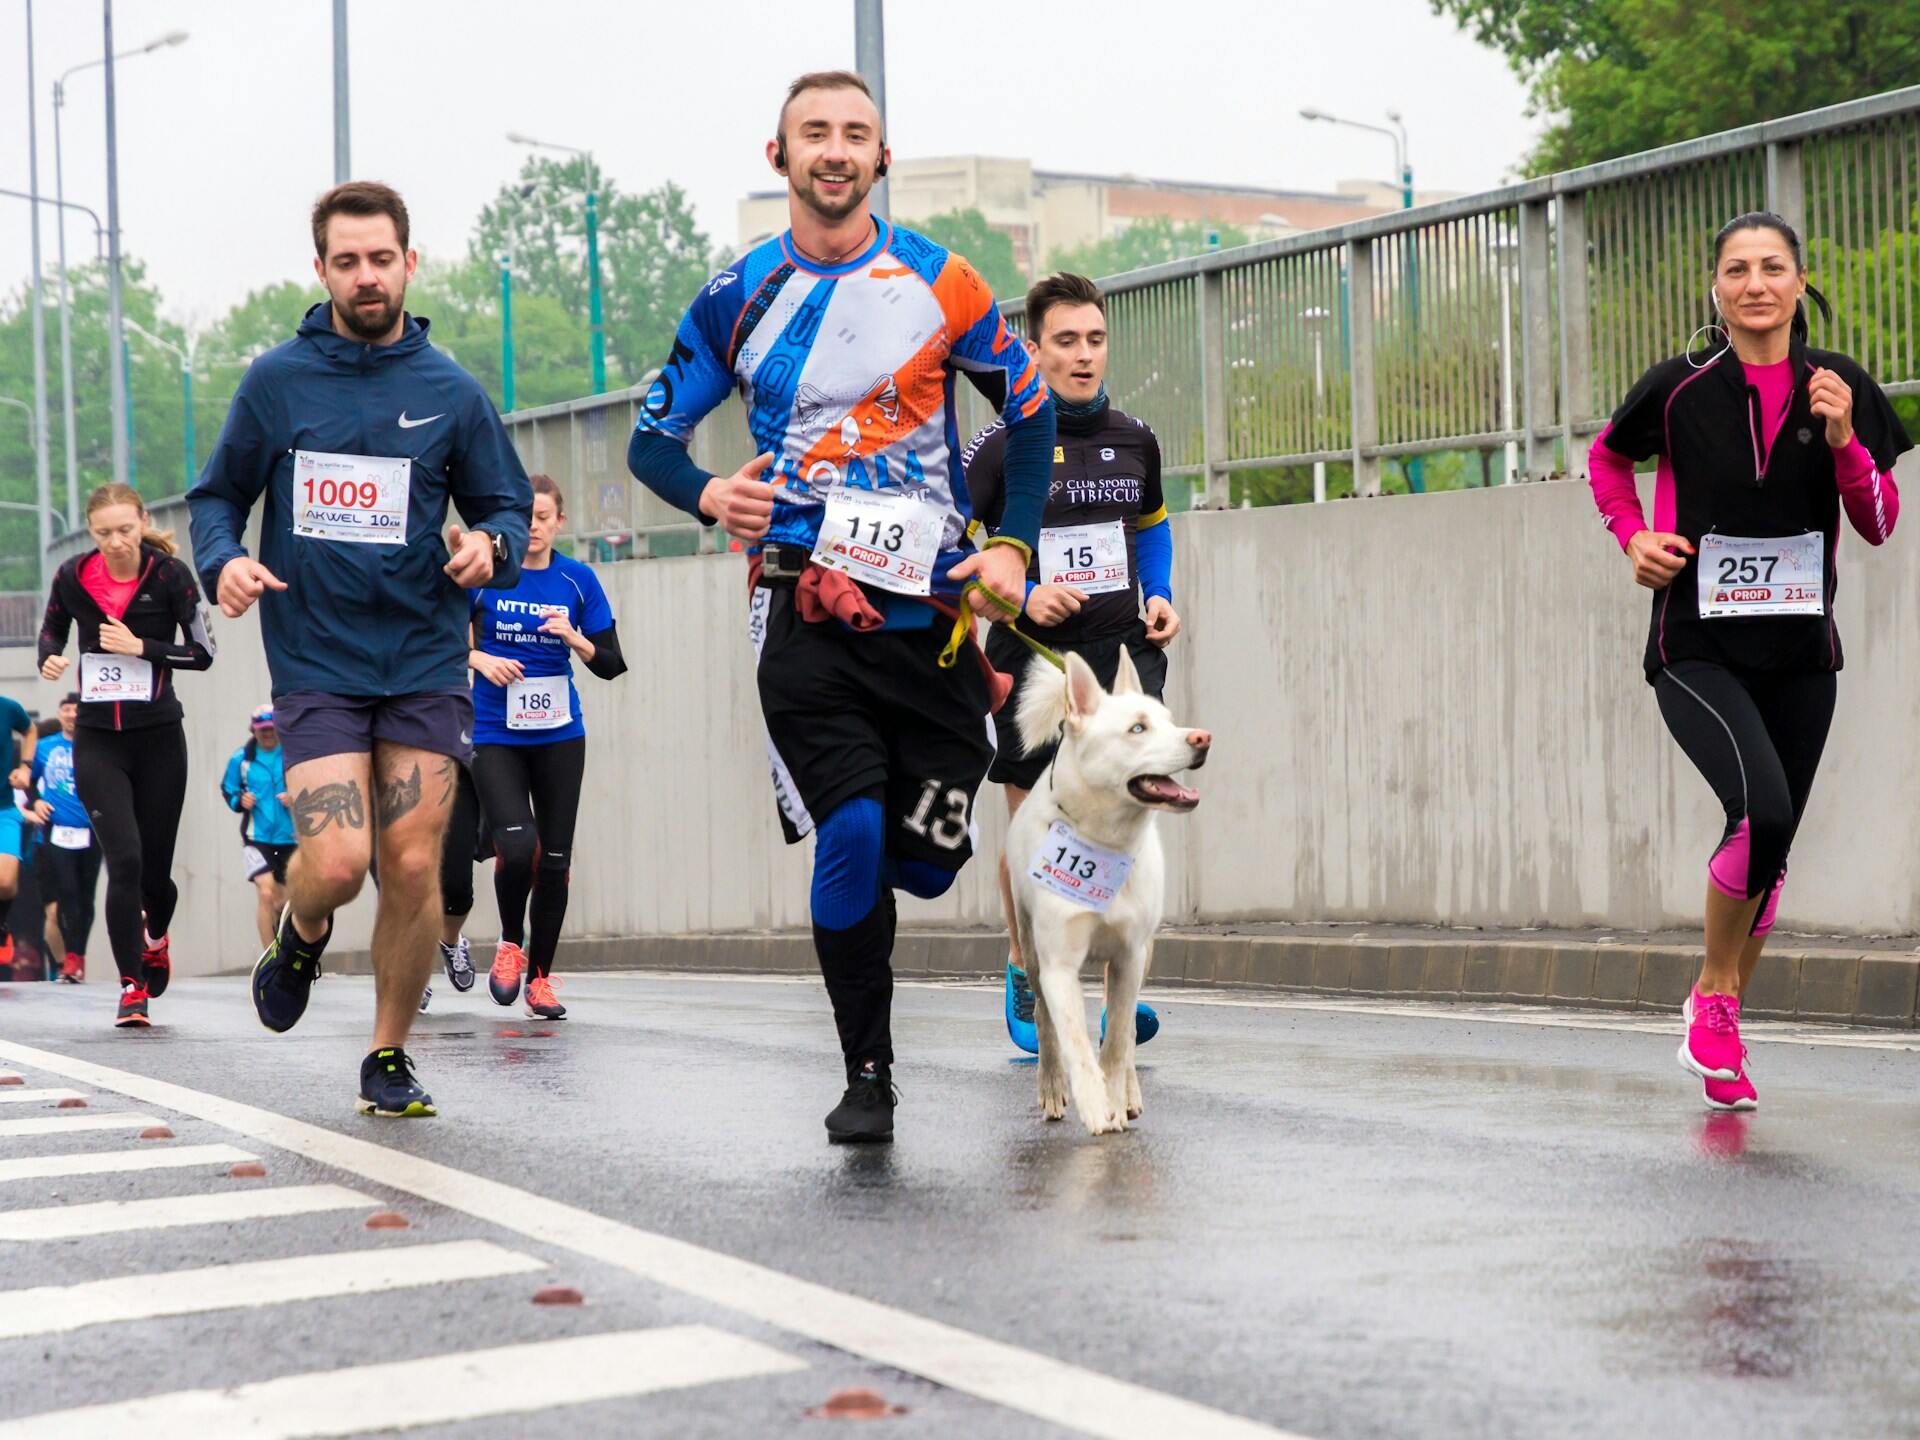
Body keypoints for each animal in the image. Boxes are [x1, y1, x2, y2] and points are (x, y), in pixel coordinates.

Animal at [1006, 652, 1213, 1136]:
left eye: (1169, 720)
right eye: (1137, 728)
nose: (1202, 737)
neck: (1105, 843)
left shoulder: (1128, 957)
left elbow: (1118, 1040)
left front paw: (1116, 1101)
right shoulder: (1059, 965)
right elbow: (1076, 1042)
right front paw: (1094, 1105)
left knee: (1128, 1033)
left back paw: (1130, 1095)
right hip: (1030, 946)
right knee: (1044, 1022)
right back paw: (1051, 1087)